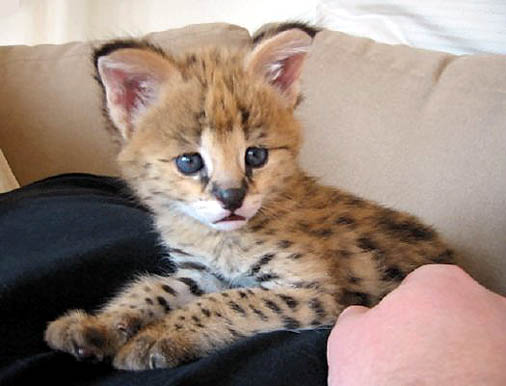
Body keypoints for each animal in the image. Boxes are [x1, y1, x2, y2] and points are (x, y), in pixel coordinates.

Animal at [44, 24, 454, 370]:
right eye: (189, 162)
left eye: (255, 155)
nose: (232, 197)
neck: (216, 239)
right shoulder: (201, 273)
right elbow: (152, 288)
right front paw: (98, 324)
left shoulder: (311, 290)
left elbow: (228, 302)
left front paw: (156, 338)